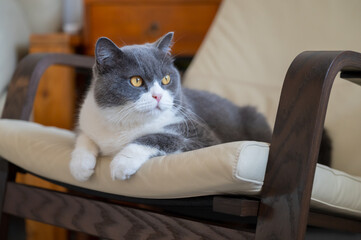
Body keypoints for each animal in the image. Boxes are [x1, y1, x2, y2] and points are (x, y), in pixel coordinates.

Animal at [68, 32, 330, 182]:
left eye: (166, 79)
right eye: (136, 81)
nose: (158, 96)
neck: (124, 123)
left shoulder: (202, 138)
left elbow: (159, 136)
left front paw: (122, 162)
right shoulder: (90, 118)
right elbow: (84, 136)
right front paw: (80, 165)